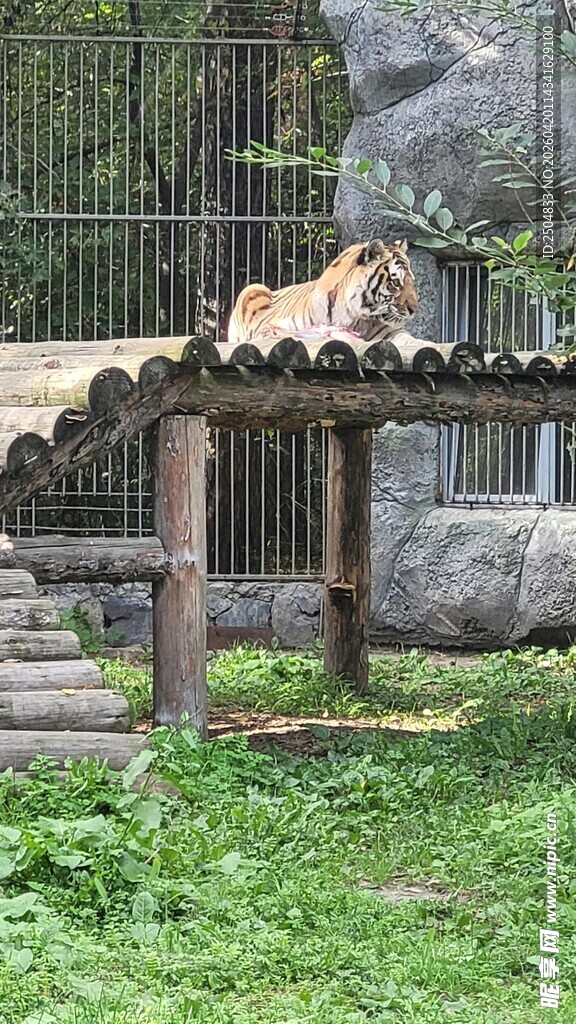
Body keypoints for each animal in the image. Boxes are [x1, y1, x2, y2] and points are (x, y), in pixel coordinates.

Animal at [227, 238, 418, 345]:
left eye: (413, 283)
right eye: (395, 283)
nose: (414, 310)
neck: (355, 317)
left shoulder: (390, 332)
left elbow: (410, 340)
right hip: (252, 288)